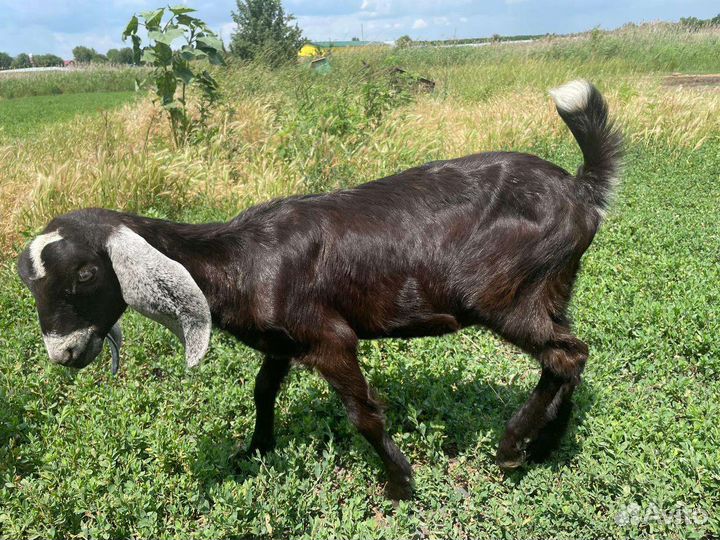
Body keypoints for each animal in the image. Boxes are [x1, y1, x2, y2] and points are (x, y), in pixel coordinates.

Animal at [17, 80, 621, 499]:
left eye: (86, 274)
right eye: (28, 280)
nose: (63, 352)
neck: (242, 257)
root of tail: (580, 188)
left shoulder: (328, 337)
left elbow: (363, 413)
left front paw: (399, 484)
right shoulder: (284, 341)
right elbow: (263, 391)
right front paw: (256, 450)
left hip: (506, 293)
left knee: (565, 354)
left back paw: (512, 448)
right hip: (552, 285)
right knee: (569, 356)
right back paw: (546, 445)